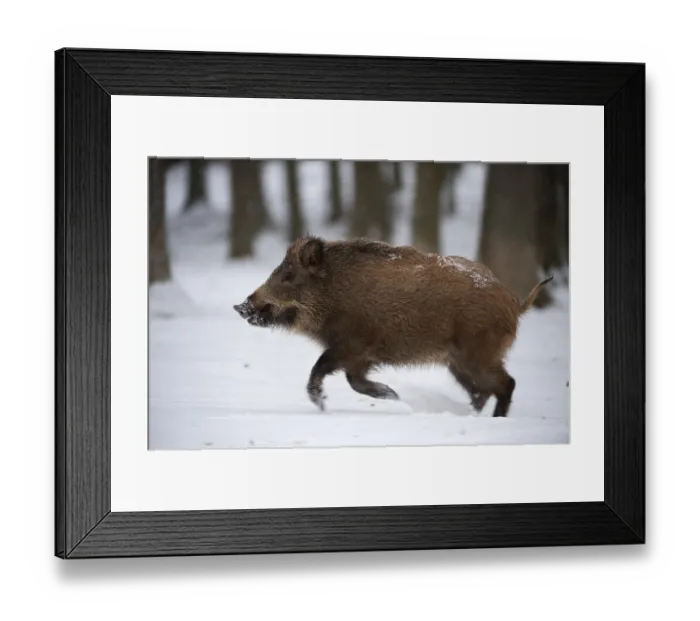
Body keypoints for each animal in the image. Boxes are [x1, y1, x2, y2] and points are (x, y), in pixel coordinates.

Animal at [233, 236, 553, 417]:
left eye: (288, 275)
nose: (242, 306)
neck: (334, 293)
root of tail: (514, 302)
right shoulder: (359, 356)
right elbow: (353, 380)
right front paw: (393, 396)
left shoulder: (351, 346)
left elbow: (321, 369)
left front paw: (323, 406)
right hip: (459, 363)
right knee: (483, 392)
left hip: (478, 355)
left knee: (506, 384)